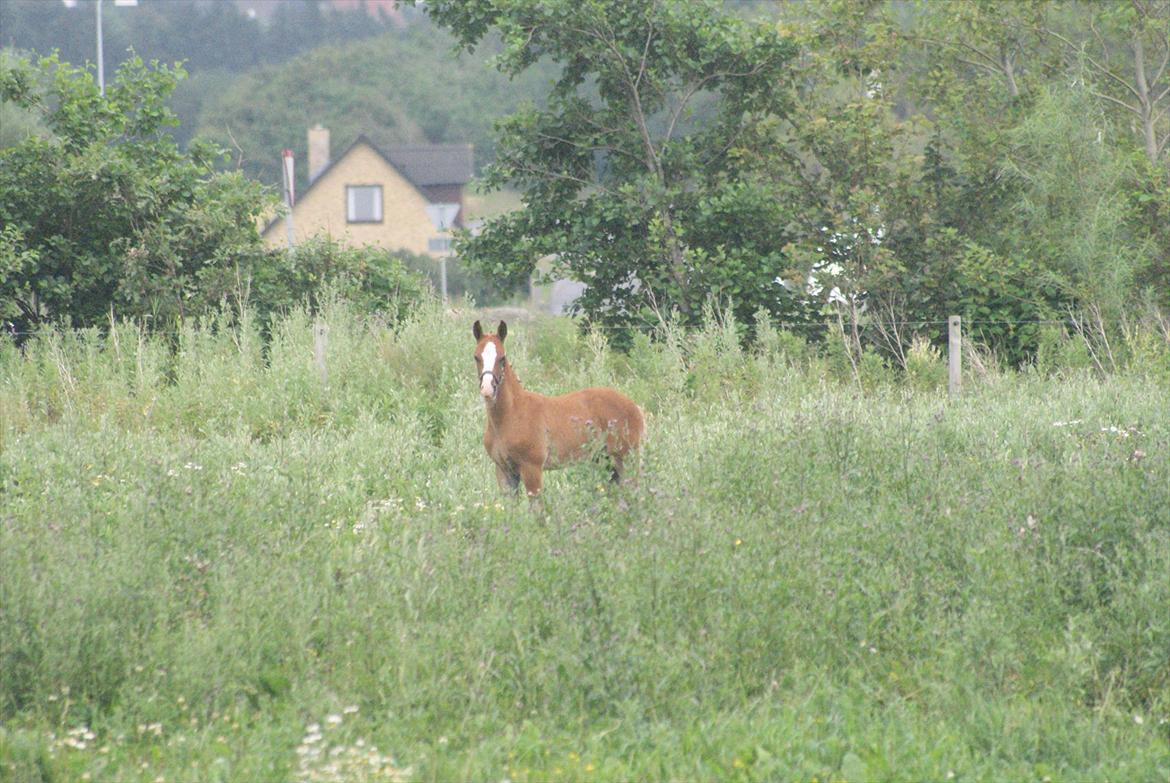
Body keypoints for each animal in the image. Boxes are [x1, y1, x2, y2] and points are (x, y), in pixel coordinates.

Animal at [470, 320, 645, 498]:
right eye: (476, 357)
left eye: (502, 358)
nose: (487, 389)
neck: (511, 415)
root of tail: (635, 407)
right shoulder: (504, 472)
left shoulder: (531, 468)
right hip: (605, 462)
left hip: (626, 459)